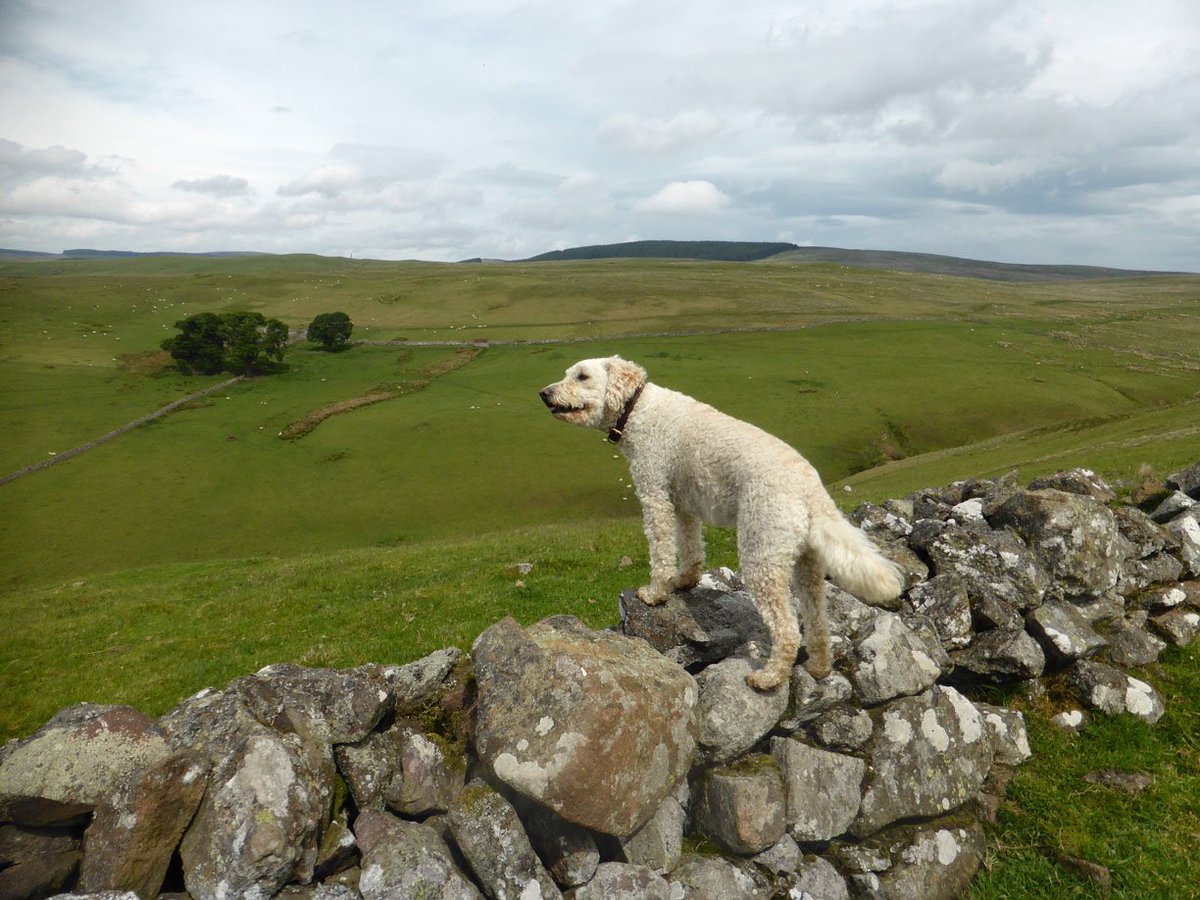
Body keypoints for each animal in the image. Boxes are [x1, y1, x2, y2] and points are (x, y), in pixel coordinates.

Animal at [542, 355, 902, 691]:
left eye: (582, 376)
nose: (544, 393)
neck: (638, 408)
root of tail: (812, 491)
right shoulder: (684, 503)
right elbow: (690, 547)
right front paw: (685, 581)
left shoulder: (655, 495)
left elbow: (661, 550)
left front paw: (655, 593)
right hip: (807, 563)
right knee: (817, 620)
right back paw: (819, 667)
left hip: (762, 553)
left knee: (787, 628)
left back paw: (769, 677)